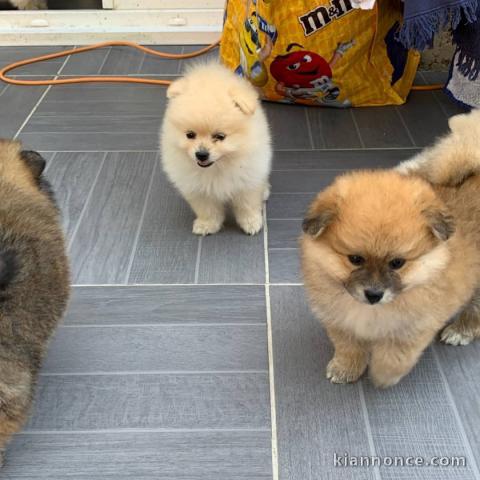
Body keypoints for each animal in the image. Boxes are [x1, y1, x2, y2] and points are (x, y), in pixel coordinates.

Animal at [161, 62, 272, 235]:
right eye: (190, 135)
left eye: (220, 136)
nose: (201, 154)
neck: (217, 167)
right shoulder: (198, 189)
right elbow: (207, 209)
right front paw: (207, 224)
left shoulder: (246, 181)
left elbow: (247, 205)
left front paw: (251, 222)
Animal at [300, 108, 480, 386]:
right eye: (355, 259)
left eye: (397, 263)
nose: (373, 295)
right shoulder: (341, 321)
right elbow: (348, 346)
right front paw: (346, 369)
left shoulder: (413, 328)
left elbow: (395, 356)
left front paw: (382, 377)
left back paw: (461, 330)